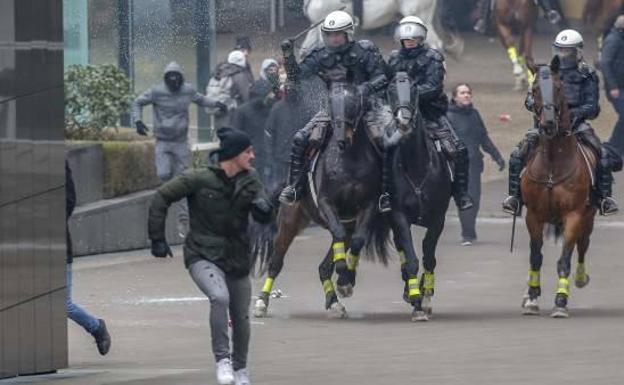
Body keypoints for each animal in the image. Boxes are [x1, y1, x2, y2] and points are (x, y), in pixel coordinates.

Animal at [251, 81, 388, 318]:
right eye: (332, 105)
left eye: (354, 105)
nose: (343, 139)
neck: (348, 160)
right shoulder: (326, 203)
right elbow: (339, 234)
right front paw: (344, 276)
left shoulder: (368, 206)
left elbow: (358, 241)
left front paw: (346, 280)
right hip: (289, 221)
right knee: (276, 262)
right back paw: (262, 301)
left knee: (324, 266)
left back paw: (334, 300)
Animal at [388, 72, 450, 320]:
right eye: (390, 89)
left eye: (414, 89)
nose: (403, 121)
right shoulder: (398, 216)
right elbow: (411, 258)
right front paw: (415, 301)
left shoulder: (438, 218)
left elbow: (429, 256)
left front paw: (426, 296)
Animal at [520, 57, 596, 318]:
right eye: (534, 90)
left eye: (559, 88)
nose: (549, 125)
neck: (553, 162)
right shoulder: (533, 216)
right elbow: (535, 257)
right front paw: (532, 297)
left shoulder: (573, 215)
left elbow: (564, 259)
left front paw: (561, 301)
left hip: (588, 218)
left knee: (582, 246)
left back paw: (581, 278)